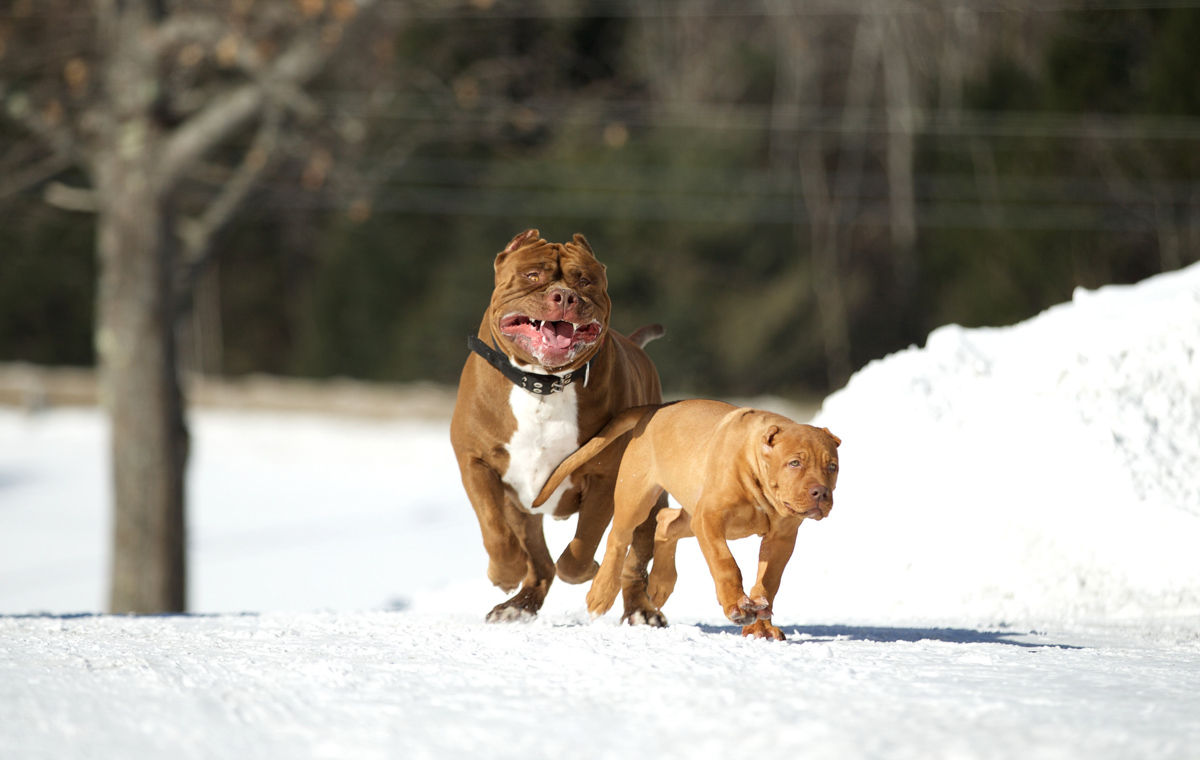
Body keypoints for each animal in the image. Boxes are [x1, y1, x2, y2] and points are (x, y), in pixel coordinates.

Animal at [451, 229, 672, 624]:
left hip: (648, 500)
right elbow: (494, 529)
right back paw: (517, 605)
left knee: (633, 560)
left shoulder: (605, 476)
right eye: (532, 275)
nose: (565, 296)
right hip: (521, 507)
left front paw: (588, 569)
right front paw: (505, 572)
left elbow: (583, 546)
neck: (542, 382)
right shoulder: (475, 462)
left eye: (584, 281)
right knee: (539, 561)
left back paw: (640, 611)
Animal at [537, 401, 844, 638]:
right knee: (619, 537)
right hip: (637, 495)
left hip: (691, 512)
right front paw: (737, 606)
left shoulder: (781, 537)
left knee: (665, 522)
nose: (821, 493)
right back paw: (601, 593)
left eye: (832, 467)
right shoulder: (710, 519)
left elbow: (768, 581)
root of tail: (654, 409)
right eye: (795, 463)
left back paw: (661, 582)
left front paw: (761, 625)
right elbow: (725, 563)